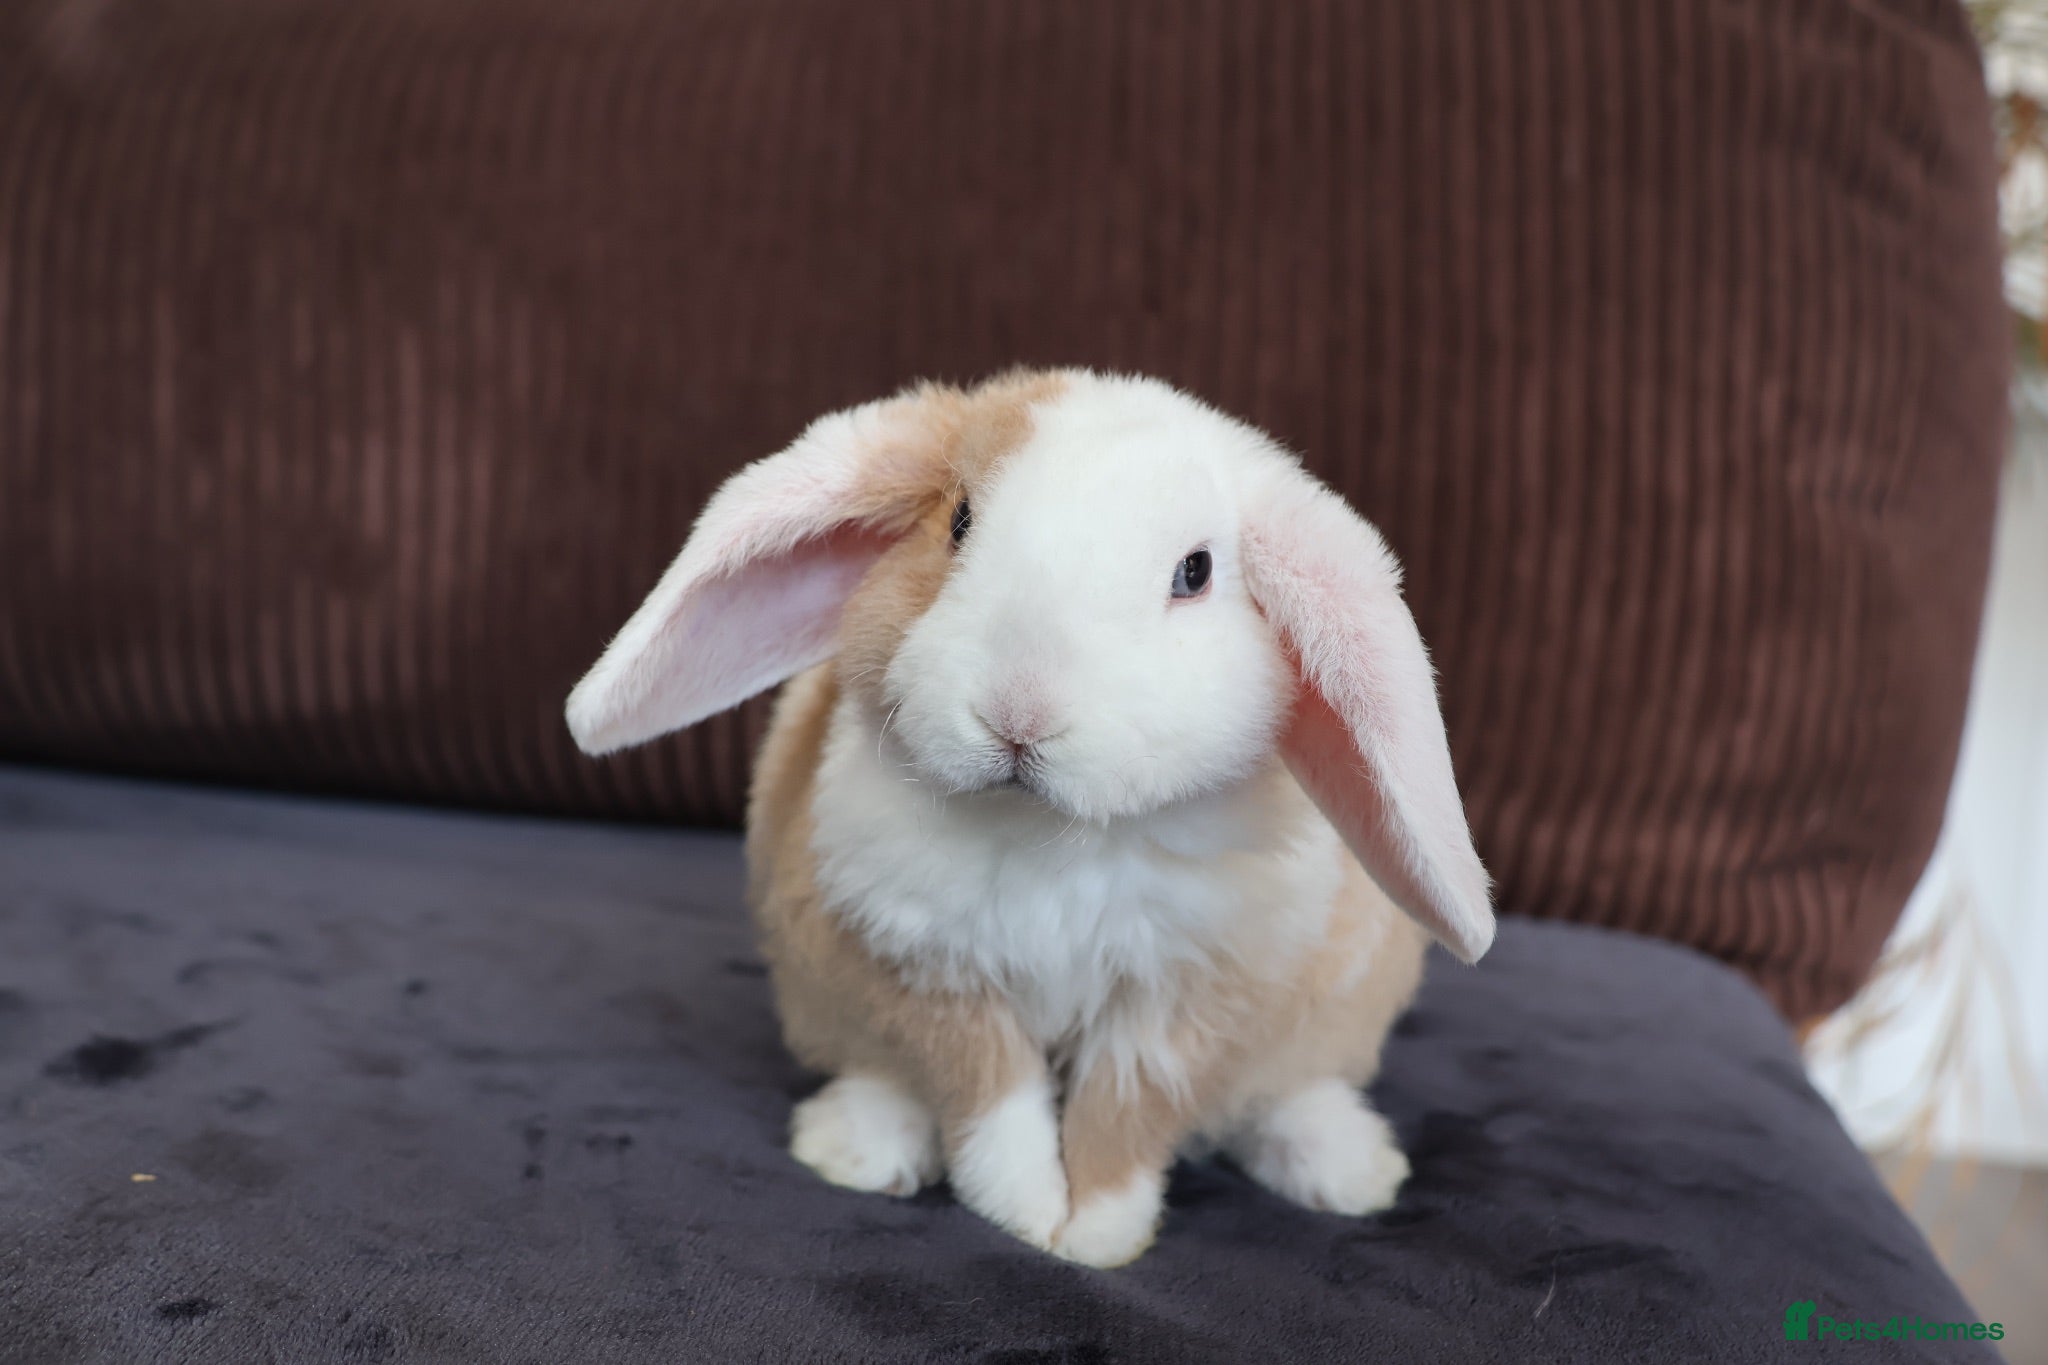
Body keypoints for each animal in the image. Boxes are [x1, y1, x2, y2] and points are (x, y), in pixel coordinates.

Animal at [564, 368, 1493, 1268]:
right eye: (959, 521)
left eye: (1195, 572)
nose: (1017, 712)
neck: (1052, 833)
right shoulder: (931, 973)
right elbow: (994, 1099)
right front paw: (1028, 1214)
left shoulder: (1178, 1005)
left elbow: (1121, 1119)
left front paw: (1096, 1236)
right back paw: (856, 1150)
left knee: (1283, 1094)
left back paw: (1350, 1171)